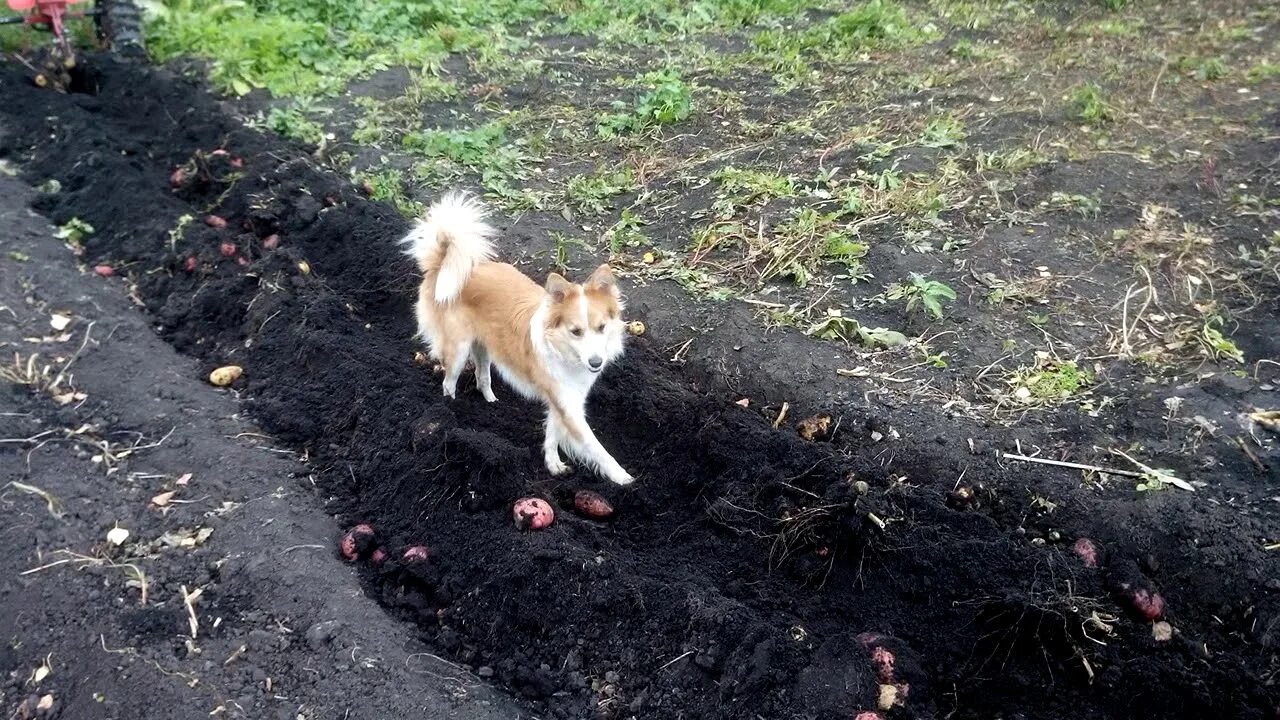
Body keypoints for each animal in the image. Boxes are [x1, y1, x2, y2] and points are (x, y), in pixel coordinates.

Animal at [401, 190, 632, 481]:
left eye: (601, 328)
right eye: (576, 332)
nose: (596, 363)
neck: (562, 351)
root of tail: (442, 264)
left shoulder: (564, 399)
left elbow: (552, 434)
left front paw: (553, 464)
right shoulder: (569, 407)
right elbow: (594, 447)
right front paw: (623, 478)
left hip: (483, 346)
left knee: (482, 376)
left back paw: (491, 401)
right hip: (458, 349)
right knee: (448, 382)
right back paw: (452, 412)